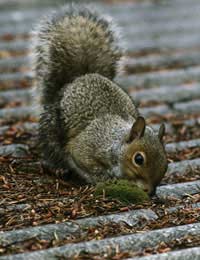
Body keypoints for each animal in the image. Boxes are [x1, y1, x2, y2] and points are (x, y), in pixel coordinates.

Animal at [33, 4, 168, 195]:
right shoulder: (87, 146)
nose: (150, 192)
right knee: (52, 148)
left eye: (166, 163)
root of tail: (79, 77)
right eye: (139, 159)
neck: (115, 143)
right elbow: (82, 159)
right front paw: (105, 178)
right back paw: (57, 167)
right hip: (52, 128)